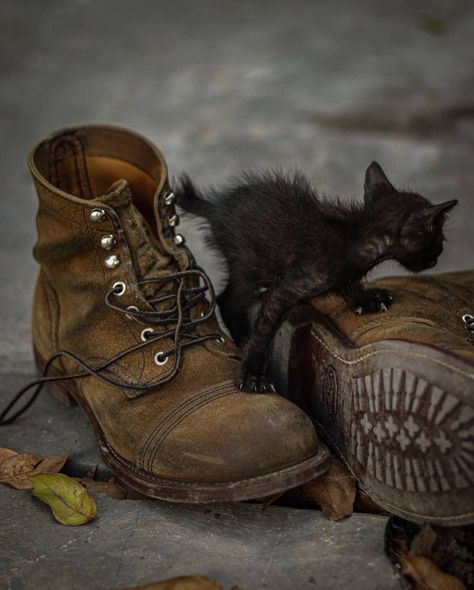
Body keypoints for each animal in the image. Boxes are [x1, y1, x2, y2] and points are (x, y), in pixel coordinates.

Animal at [176, 163, 458, 394]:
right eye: (440, 241)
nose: (436, 259)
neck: (357, 236)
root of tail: (216, 208)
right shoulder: (290, 288)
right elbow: (265, 330)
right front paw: (251, 374)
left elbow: (349, 284)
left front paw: (366, 300)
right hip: (249, 263)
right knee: (228, 299)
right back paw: (240, 336)